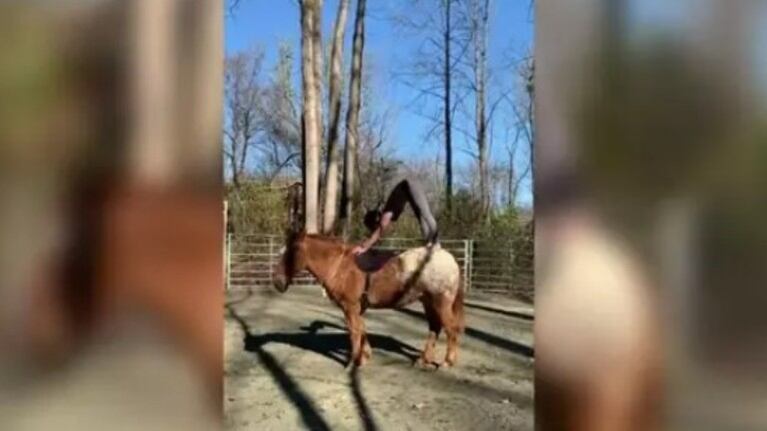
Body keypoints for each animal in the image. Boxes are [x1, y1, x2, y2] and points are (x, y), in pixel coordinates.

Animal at [272, 230, 464, 368]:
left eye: (292, 250)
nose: (277, 282)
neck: (340, 266)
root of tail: (450, 259)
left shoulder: (350, 306)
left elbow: (354, 331)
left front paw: (354, 361)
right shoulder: (356, 308)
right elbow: (361, 328)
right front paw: (365, 356)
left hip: (440, 302)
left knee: (451, 329)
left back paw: (447, 361)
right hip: (427, 301)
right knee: (435, 328)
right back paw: (424, 359)